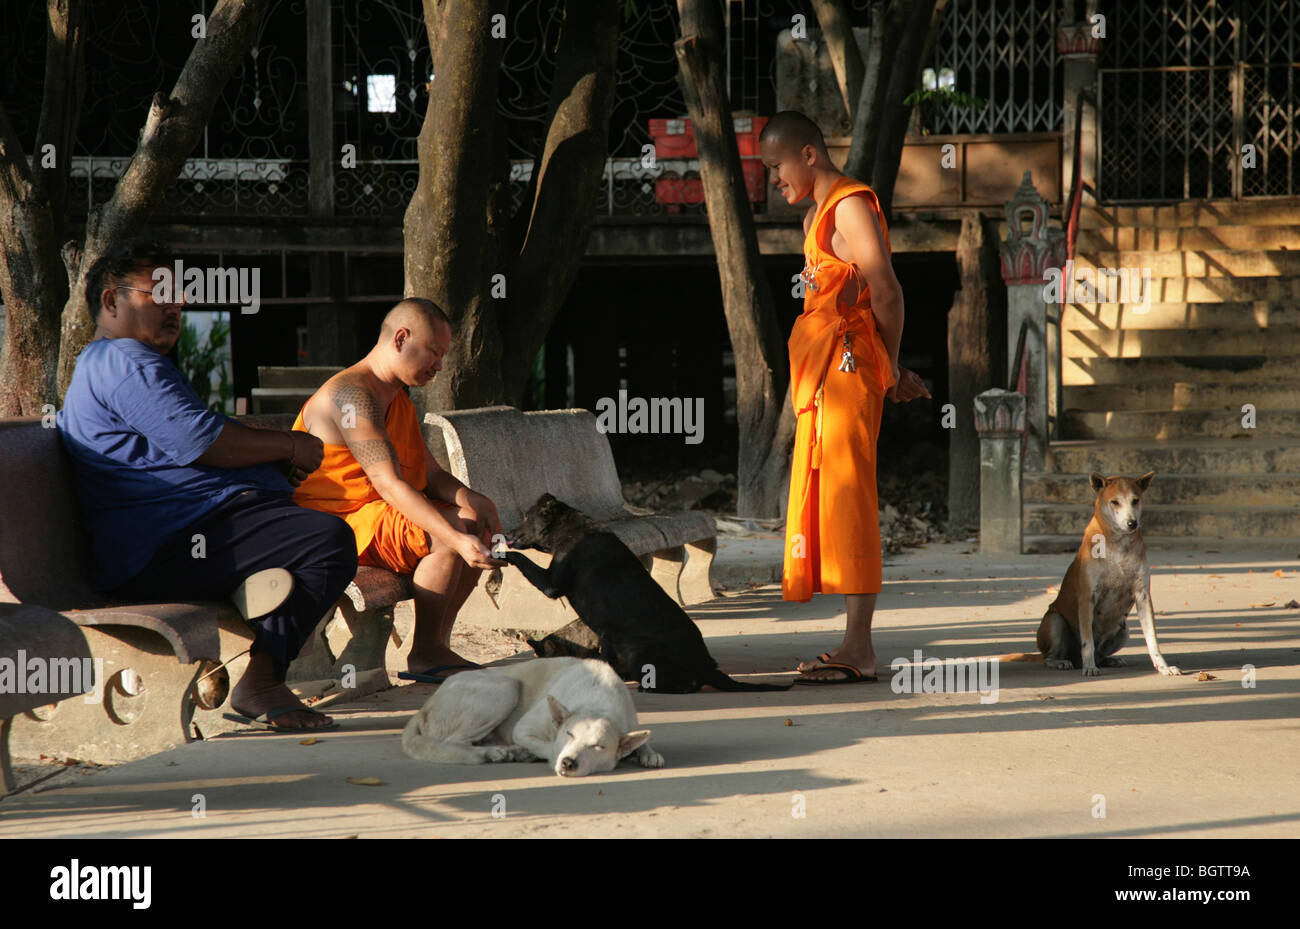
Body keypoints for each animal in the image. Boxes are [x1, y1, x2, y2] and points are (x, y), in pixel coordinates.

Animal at [400, 657, 665, 779]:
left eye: (598, 746)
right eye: (569, 734)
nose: (568, 763)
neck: (598, 700)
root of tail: (425, 706)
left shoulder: (628, 722)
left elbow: (642, 742)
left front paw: (649, 753)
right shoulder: (524, 729)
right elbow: (548, 746)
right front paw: (543, 754)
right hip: (506, 687)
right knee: (453, 742)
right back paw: (498, 753)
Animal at [493, 493, 780, 691]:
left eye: (526, 517)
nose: (507, 532)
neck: (573, 530)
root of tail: (708, 666)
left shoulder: (551, 583)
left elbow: (523, 559)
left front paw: (501, 553)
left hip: (641, 652)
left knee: (685, 685)